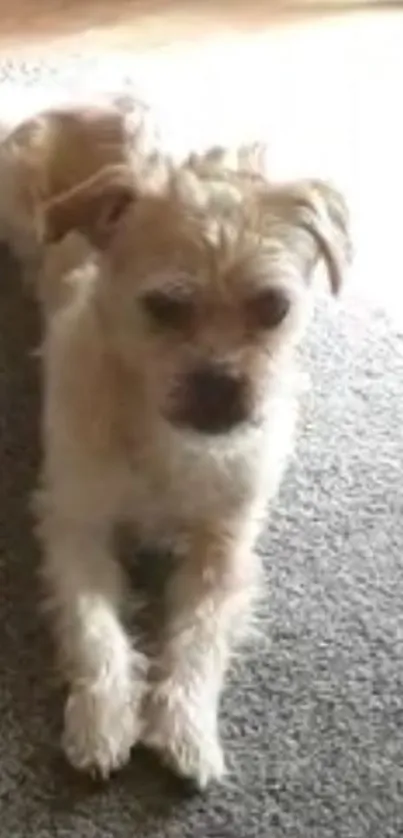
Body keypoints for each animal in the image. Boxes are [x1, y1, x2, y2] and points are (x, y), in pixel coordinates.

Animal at [0, 105, 350, 788]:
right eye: (162, 306)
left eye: (273, 306)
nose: (221, 383)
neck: (165, 436)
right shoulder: (76, 527)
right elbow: (94, 626)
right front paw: (102, 718)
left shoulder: (225, 546)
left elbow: (198, 637)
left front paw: (185, 726)